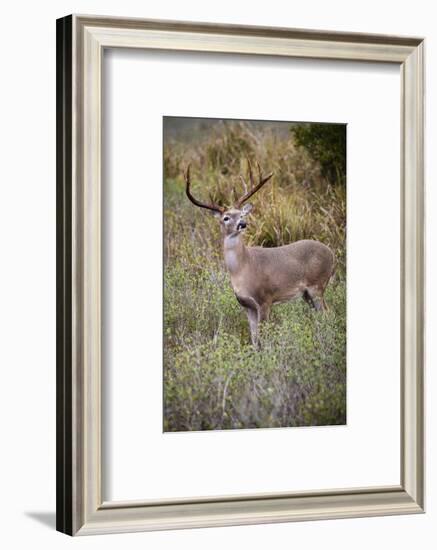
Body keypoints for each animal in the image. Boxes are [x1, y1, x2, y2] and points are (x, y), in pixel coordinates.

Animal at [183, 161, 334, 350]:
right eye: (226, 218)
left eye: (241, 214)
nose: (243, 223)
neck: (243, 268)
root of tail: (332, 254)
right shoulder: (247, 305)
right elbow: (254, 339)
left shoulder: (265, 299)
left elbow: (264, 338)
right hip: (307, 294)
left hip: (317, 285)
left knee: (328, 314)